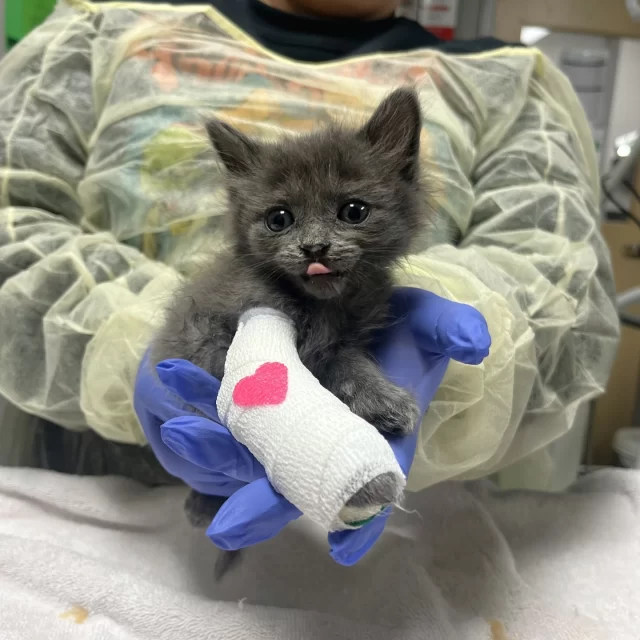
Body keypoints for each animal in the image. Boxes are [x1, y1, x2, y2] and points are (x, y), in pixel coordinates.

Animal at [152, 87, 428, 552]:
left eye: (354, 211)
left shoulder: (345, 341)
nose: (314, 247)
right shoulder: (217, 322)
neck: (321, 307)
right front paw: (367, 486)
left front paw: (381, 401)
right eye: (278, 219)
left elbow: (347, 364)